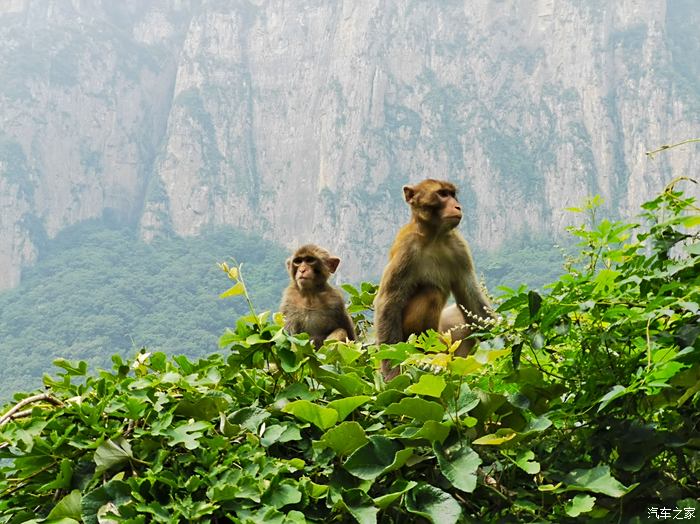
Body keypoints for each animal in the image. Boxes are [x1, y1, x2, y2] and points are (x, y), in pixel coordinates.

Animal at [372, 179, 492, 376]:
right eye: (442, 194)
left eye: (452, 194)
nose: (457, 206)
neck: (434, 237)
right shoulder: (406, 249)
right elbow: (388, 303)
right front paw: (392, 374)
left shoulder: (459, 248)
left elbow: (471, 298)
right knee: (431, 292)